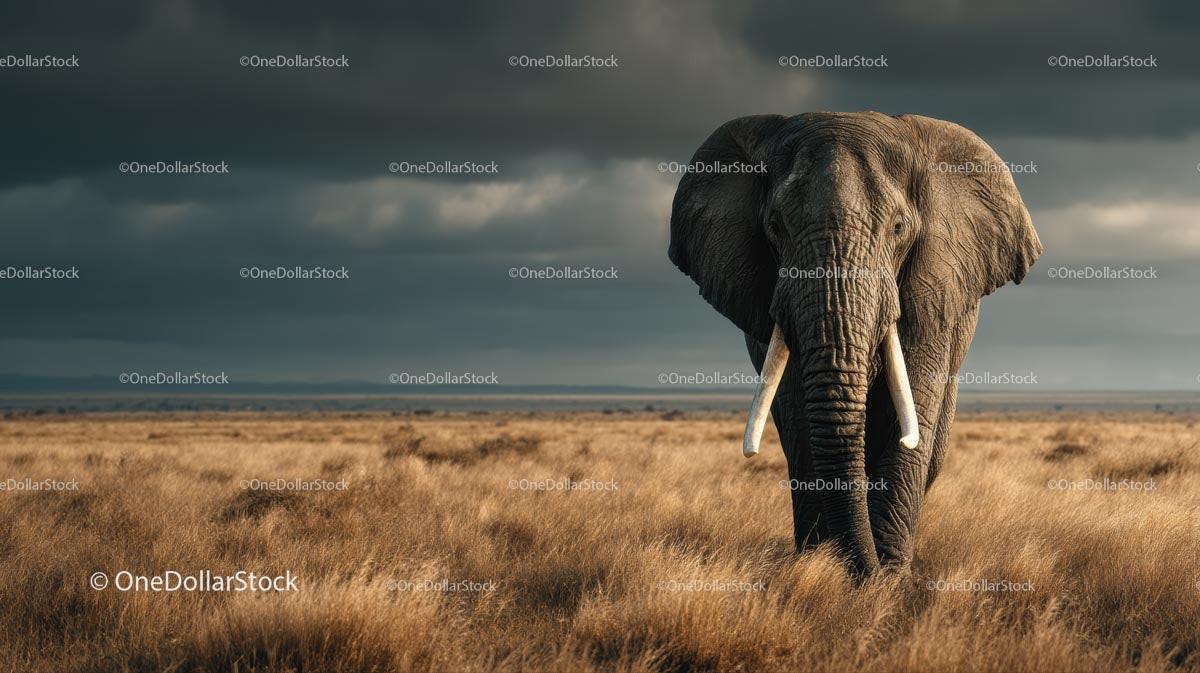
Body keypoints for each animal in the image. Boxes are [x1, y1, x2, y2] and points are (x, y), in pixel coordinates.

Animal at [668, 111, 1042, 576]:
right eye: (774, 226)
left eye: (899, 228)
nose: (870, 570)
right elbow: (798, 412)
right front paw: (822, 568)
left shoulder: (935, 291)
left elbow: (911, 410)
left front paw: (889, 580)